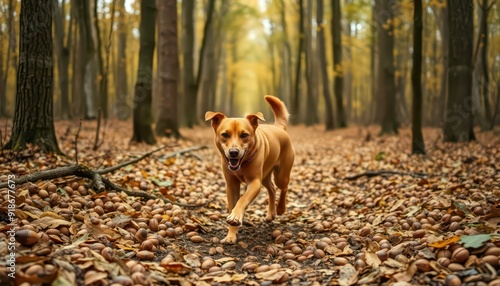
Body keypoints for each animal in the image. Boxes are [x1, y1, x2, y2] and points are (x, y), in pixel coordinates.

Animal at [205, 95, 294, 244]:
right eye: (225, 134)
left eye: (244, 135)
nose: (233, 152)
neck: (241, 165)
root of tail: (279, 127)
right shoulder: (231, 185)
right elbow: (233, 204)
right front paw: (231, 235)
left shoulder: (254, 182)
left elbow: (243, 199)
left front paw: (235, 217)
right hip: (265, 176)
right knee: (271, 188)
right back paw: (271, 213)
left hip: (280, 175)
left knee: (283, 187)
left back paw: (281, 208)